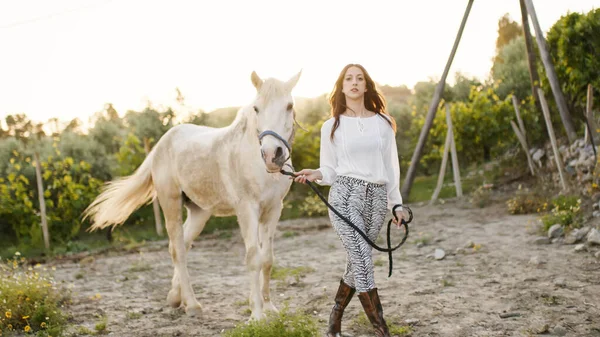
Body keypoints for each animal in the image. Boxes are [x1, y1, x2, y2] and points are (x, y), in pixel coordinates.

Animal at [82, 70, 302, 318]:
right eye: (256, 108)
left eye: (289, 105)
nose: (273, 155)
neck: (254, 159)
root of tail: (161, 143)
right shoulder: (247, 210)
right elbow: (253, 257)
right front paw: (256, 315)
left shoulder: (273, 209)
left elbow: (267, 259)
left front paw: (270, 308)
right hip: (171, 203)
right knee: (177, 249)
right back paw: (193, 304)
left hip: (199, 212)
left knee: (183, 246)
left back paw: (176, 298)